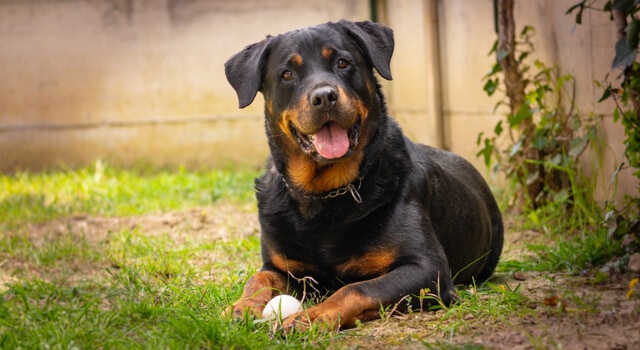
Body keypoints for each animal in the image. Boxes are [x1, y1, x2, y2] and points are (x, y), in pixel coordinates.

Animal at [222, 20, 502, 332]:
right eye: (287, 74)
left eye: (343, 63)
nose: (324, 96)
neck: (325, 194)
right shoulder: (283, 267)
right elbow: (259, 278)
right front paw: (242, 306)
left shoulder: (427, 269)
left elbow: (356, 288)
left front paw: (313, 316)